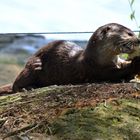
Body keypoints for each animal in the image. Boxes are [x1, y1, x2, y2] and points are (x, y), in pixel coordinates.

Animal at [0, 23, 140, 95]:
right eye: (129, 33)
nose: (138, 39)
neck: (97, 58)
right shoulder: (96, 69)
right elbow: (116, 73)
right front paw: (135, 64)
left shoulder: (117, 61)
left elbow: (123, 65)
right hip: (33, 65)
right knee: (15, 84)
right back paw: (27, 88)